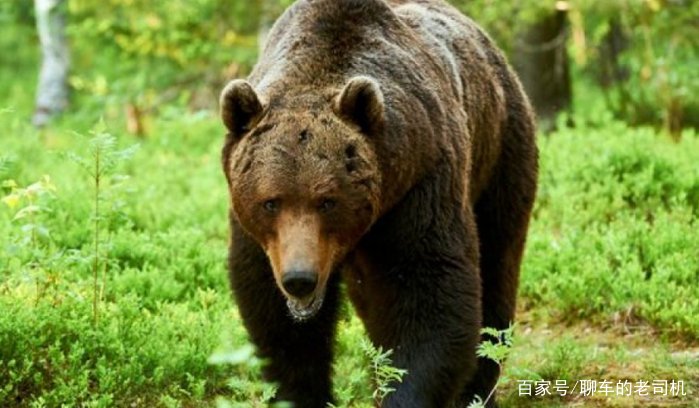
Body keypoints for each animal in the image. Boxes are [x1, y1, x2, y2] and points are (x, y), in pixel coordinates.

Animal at [219, 0, 538, 407]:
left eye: (327, 201)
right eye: (270, 202)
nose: (300, 280)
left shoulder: (420, 187)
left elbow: (429, 297)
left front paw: (401, 391)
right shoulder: (259, 236)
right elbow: (275, 318)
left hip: (500, 153)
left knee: (497, 264)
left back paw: (478, 391)